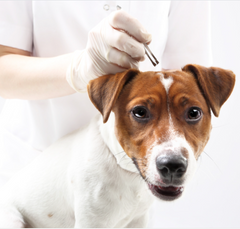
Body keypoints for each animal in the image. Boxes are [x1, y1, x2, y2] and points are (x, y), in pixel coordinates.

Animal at [0, 64, 235, 227]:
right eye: (140, 112)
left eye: (194, 112)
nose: (172, 165)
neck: (127, 175)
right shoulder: (91, 222)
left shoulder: (139, 220)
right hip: (12, 219)